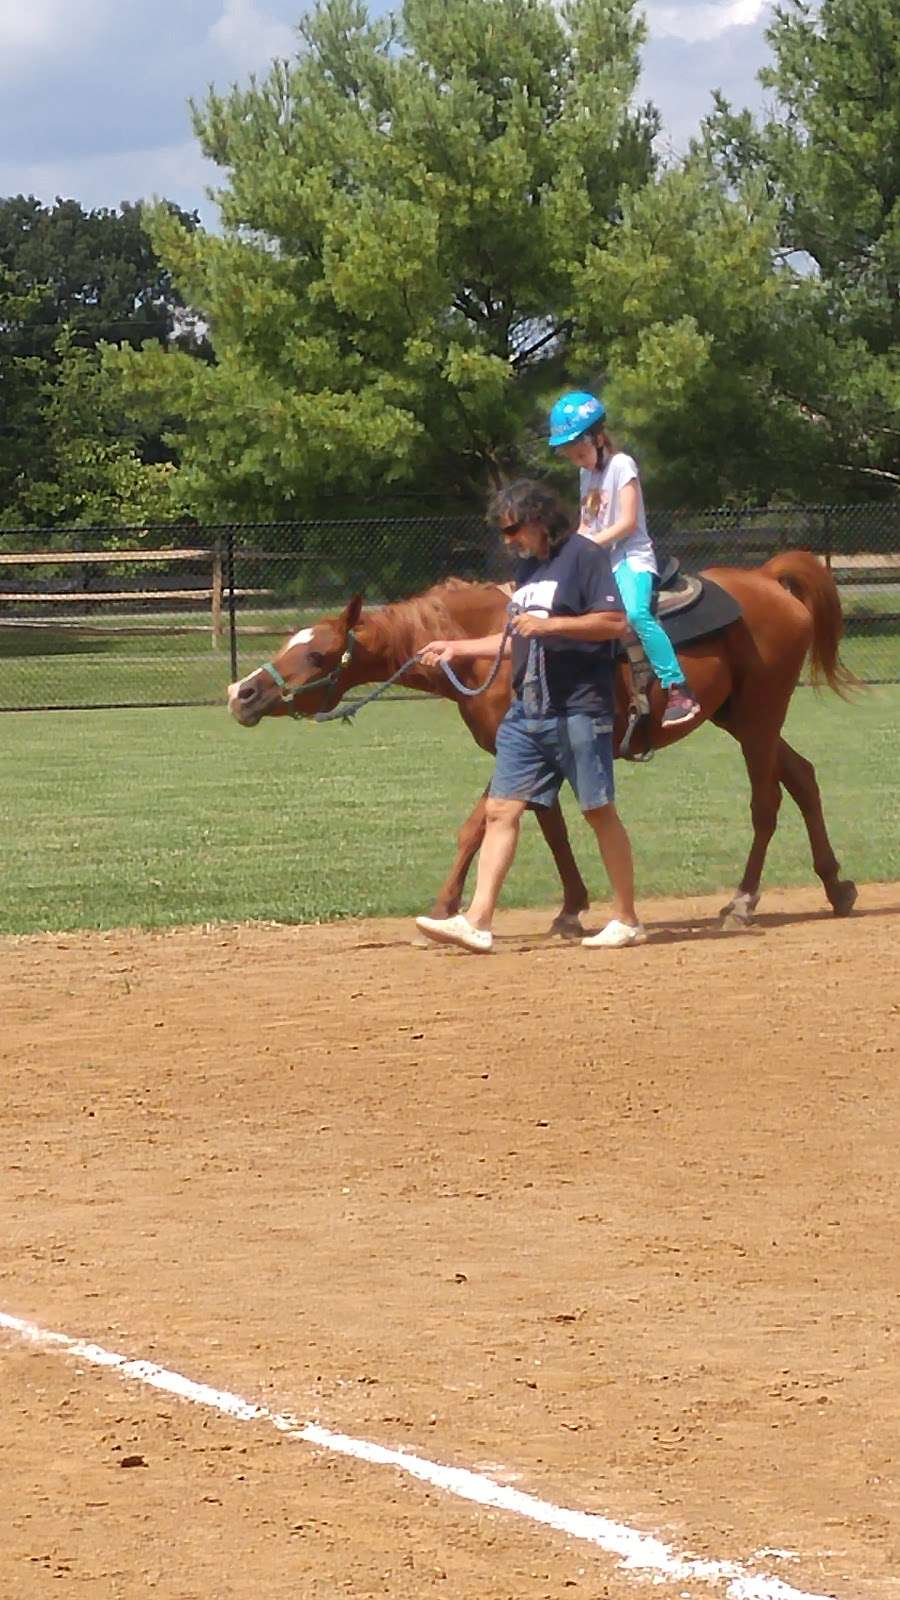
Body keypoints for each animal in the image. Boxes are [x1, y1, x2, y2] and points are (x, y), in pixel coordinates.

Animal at [225, 550, 851, 934]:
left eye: (316, 655)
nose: (243, 693)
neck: (492, 646)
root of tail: (767, 578)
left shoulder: (518, 746)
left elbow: (479, 824)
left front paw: (444, 907)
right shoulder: (537, 752)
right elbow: (550, 829)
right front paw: (570, 909)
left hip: (759, 719)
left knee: (767, 800)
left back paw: (743, 902)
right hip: (743, 718)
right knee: (803, 776)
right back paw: (837, 885)